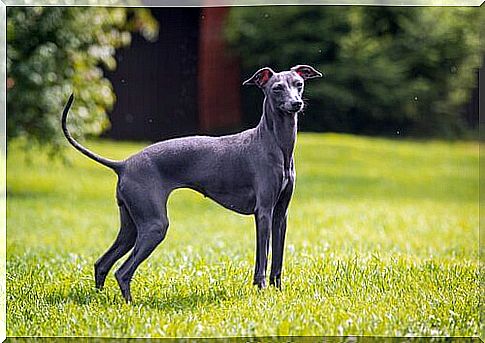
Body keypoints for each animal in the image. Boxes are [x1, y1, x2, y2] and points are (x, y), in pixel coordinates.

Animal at [62, 65, 324, 304]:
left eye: (299, 84)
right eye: (277, 88)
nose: (296, 104)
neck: (275, 145)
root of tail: (123, 164)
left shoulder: (280, 215)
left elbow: (277, 260)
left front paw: (277, 293)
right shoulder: (264, 213)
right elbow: (262, 260)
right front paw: (261, 293)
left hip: (131, 227)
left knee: (102, 263)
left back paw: (99, 299)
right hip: (154, 226)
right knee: (122, 271)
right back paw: (130, 304)